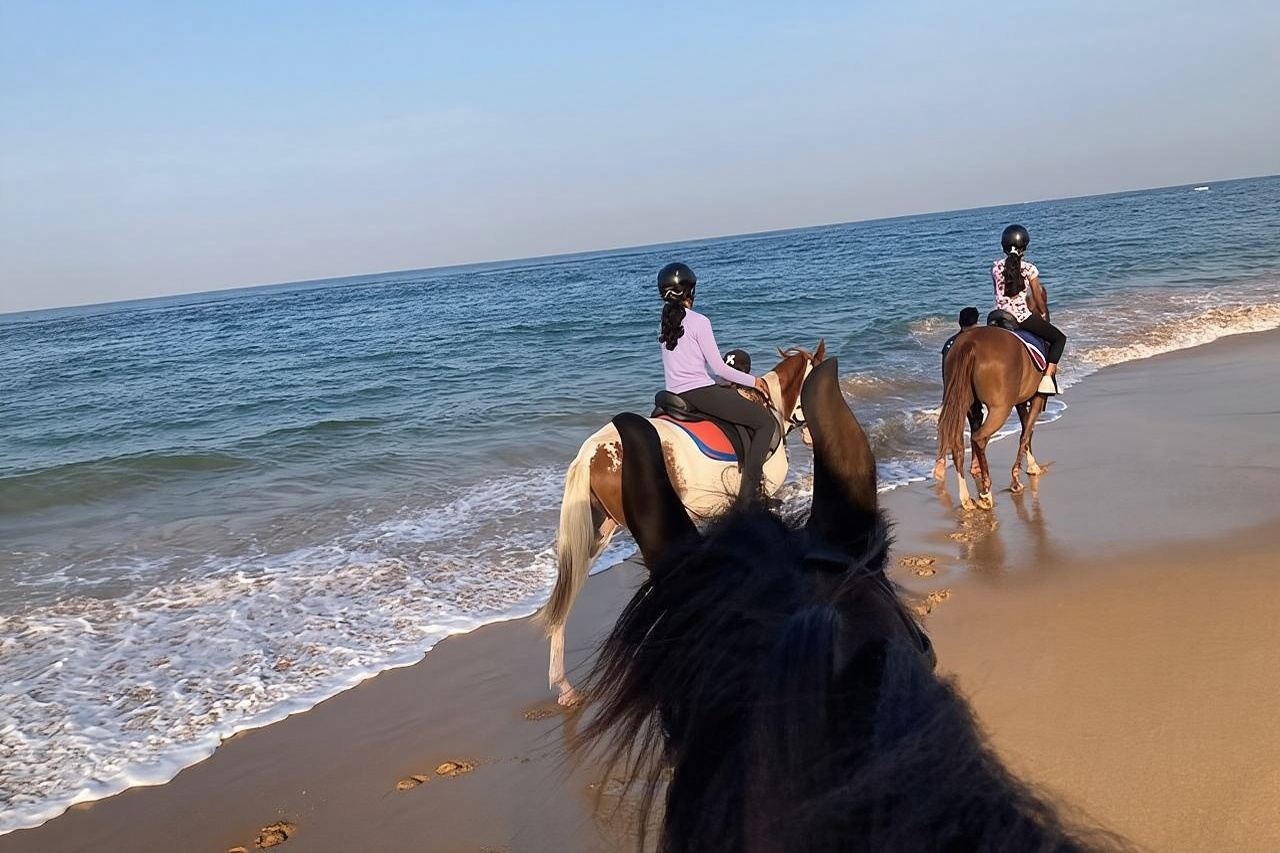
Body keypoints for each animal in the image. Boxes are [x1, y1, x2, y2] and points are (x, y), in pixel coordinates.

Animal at [932, 326, 1048, 510]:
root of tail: (970, 343)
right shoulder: (1038, 397)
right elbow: (1026, 433)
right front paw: (1019, 477)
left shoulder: (1021, 402)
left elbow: (1026, 430)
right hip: (1000, 409)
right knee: (979, 438)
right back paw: (986, 492)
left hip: (961, 402)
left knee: (959, 443)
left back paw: (966, 497)